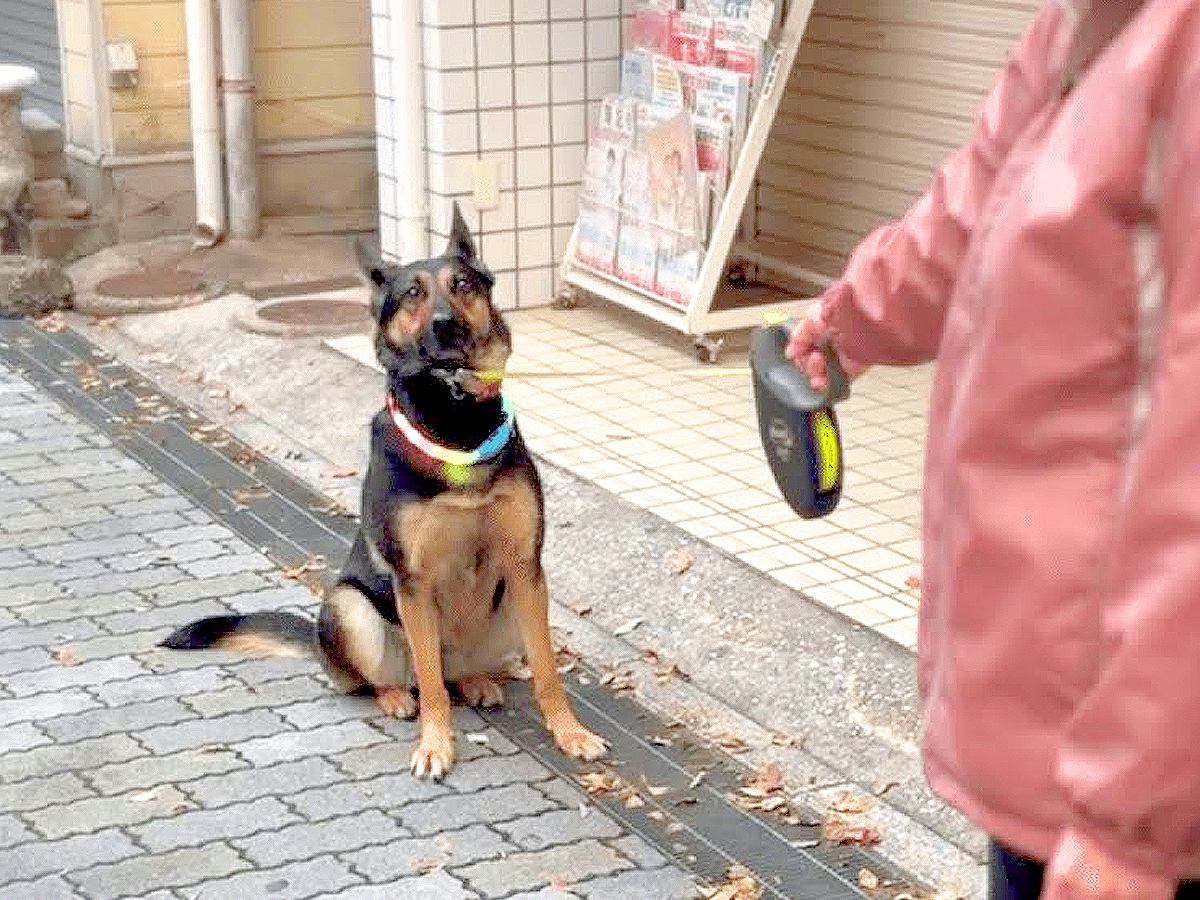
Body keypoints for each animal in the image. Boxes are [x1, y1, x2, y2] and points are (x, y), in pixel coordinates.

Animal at [159, 200, 604, 777]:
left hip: (509, 603)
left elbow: (548, 672)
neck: (454, 416)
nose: (446, 324)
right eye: (412, 293)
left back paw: (477, 681)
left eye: (463, 284)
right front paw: (435, 746)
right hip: (350, 607)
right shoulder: (412, 580)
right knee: (393, 678)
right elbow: (432, 688)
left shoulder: (526, 566)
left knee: (458, 673)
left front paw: (571, 733)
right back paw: (395, 697)